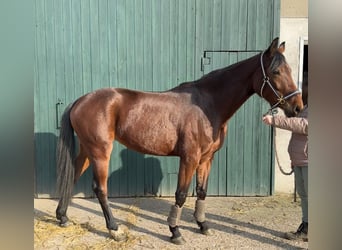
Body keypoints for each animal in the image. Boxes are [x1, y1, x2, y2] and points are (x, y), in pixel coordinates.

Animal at [55, 37, 302, 244]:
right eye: (276, 71)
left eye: (290, 69)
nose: (297, 107)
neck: (208, 105)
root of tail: (80, 100)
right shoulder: (189, 158)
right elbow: (181, 194)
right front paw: (175, 231)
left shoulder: (206, 159)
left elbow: (201, 192)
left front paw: (203, 225)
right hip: (100, 152)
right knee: (100, 189)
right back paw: (114, 229)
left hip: (88, 150)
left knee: (73, 176)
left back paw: (63, 217)